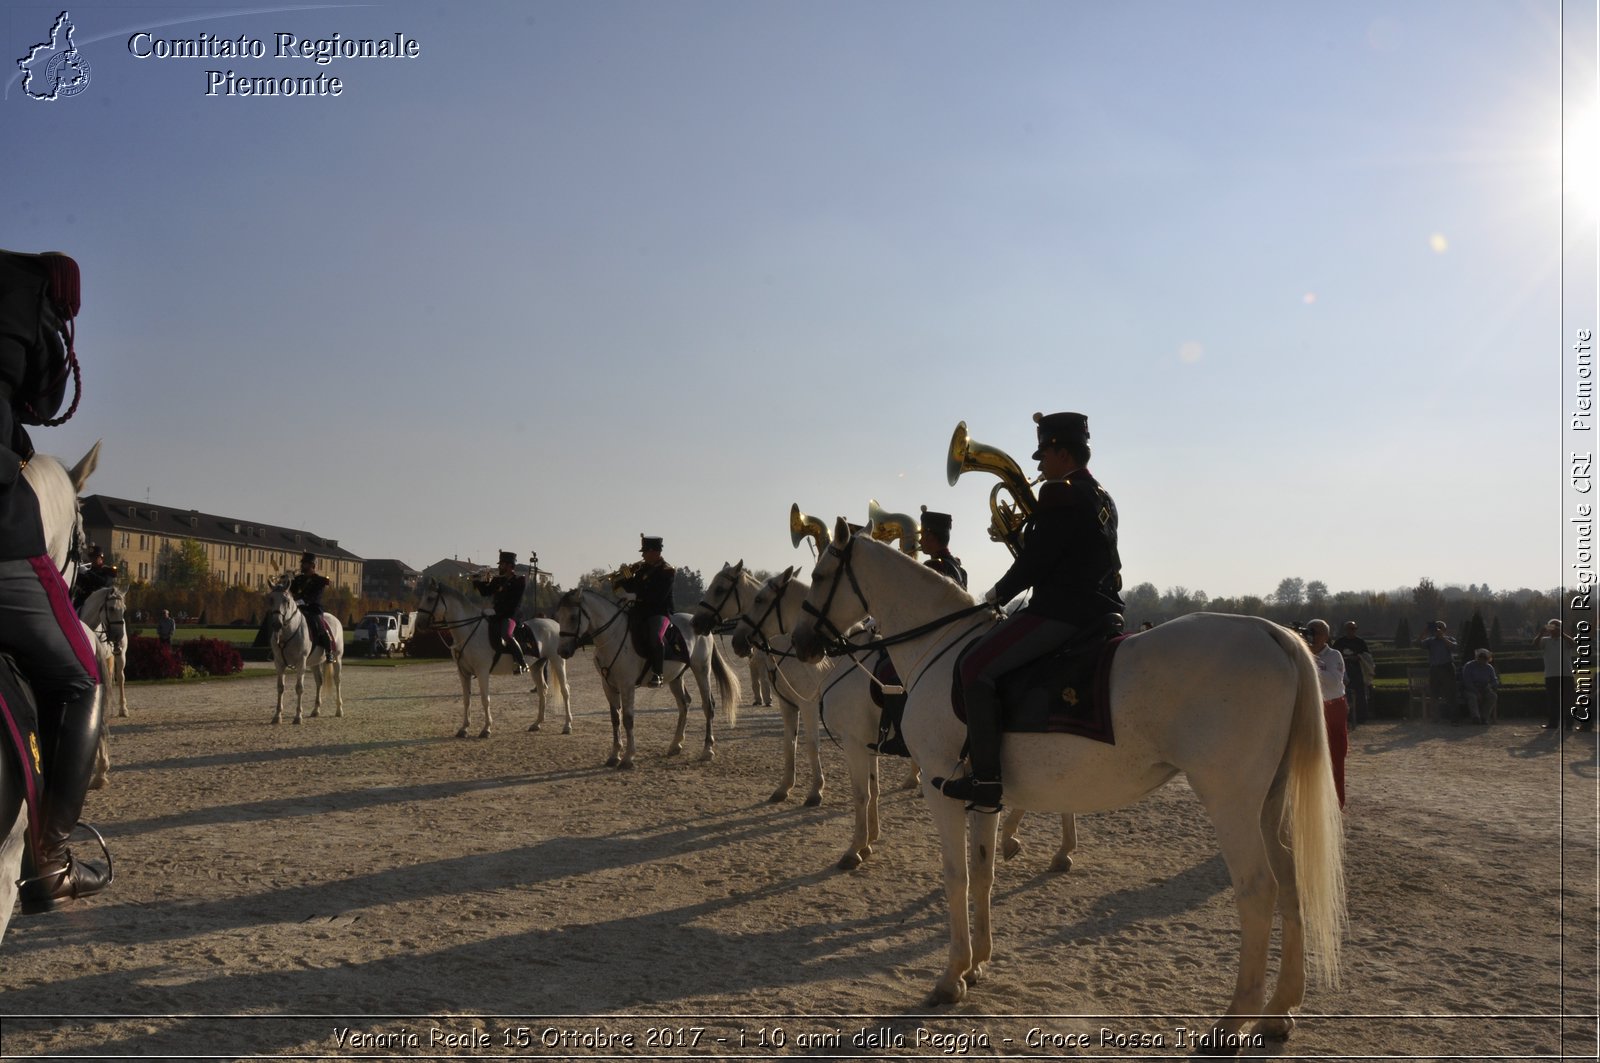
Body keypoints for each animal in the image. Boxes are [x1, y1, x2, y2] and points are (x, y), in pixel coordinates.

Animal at [264, 576, 342, 726]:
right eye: (270, 599)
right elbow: (280, 687)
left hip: (337, 659)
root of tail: (334, 618)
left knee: (337, 680)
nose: (276, 624)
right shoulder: (279, 663)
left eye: (286, 601)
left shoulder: (301, 662)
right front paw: (277, 716)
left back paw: (339, 710)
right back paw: (316, 710)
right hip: (315, 663)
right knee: (319, 681)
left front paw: (298, 716)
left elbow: (299, 687)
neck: (287, 633)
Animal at [416, 582, 572, 739]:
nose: (418, 624)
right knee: (542, 690)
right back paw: (537, 723)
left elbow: (485, 699)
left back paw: (567, 726)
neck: (469, 630)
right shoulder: (463, 673)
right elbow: (466, 700)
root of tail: (555, 624)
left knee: (565, 690)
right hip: (536, 666)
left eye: (430, 598)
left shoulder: (482, 672)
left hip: (557, 661)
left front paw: (486, 729)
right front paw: (464, 728)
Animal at [556, 585, 742, 768]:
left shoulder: (627, 685)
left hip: (702, 670)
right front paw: (614, 755)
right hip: (676, 677)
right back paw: (676, 744)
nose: (563, 651)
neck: (613, 636)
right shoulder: (608, 686)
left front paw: (628, 757)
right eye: (559, 616)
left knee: (708, 705)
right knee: (684, 704)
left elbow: (628, 719)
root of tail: (699, 624)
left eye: (573, 617)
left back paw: (707, 750)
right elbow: (615, 719)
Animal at [793, 521, 1344, 1043]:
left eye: (819, 576)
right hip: (1268, 803)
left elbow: (956, 877)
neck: (938, 649)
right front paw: (978, 962)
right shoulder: (983, 796)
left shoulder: (939, 787)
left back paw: (1235, 1019)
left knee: (1258, 890)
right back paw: (1279, 1010)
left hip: (1230, 802)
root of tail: (1272, 633)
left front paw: (951, 977)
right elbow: (983, 873)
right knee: (1291, 881)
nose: (800, 643)